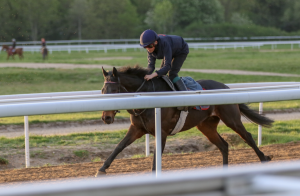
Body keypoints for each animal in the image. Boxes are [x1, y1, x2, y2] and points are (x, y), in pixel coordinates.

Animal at [96, 65, 274, 176]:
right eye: (103, 90)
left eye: (114, 90)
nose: (106, 117)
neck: (146, 97)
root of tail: (226, 87)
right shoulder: (137, 129)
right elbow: (119, 146)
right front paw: (102, 169)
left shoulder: (162, 132)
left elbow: (156, 156)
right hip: (206, 126)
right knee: (223, 145)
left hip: (231, 119)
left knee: (247, 136)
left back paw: (264, 158)